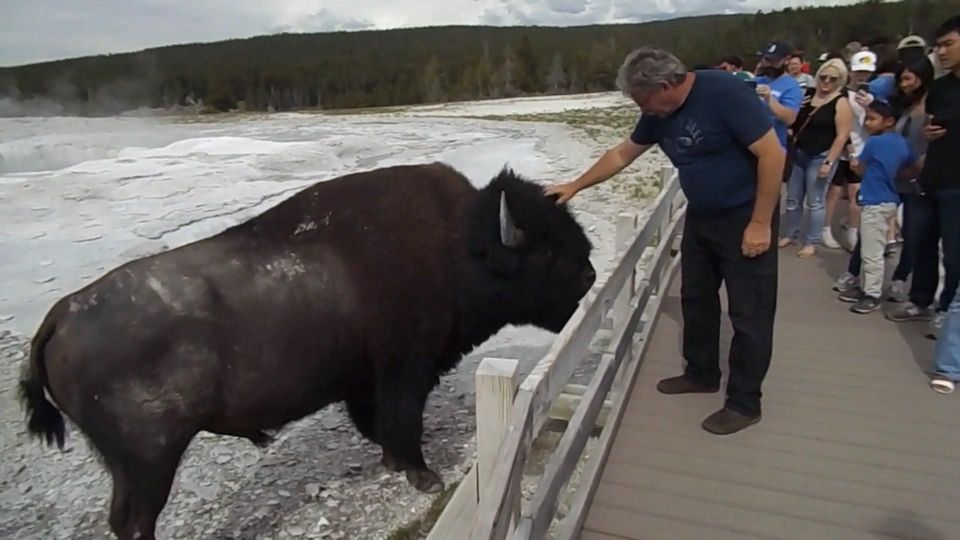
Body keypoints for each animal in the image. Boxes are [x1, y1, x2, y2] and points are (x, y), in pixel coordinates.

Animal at [19, 162, 596, 539]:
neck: (459, 245)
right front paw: (424, 476)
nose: (591, 276)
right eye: (547, 251)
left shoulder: (367, 381)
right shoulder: (404, 371)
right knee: (135, 521)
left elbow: (381, 425)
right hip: (147, 463)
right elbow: (402, 422)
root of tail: (60, 315)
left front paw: (394, 463)